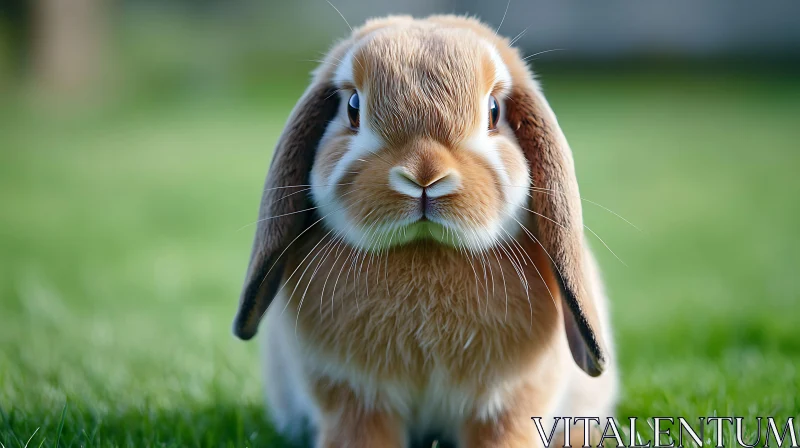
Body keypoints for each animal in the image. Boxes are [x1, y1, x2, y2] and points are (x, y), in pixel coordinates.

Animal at [231, 14, 620, 448]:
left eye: (493, 111)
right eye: (353, 107)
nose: (425, 174)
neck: (425, 250)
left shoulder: (511, 399)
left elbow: (504, 433)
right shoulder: (354, 397)